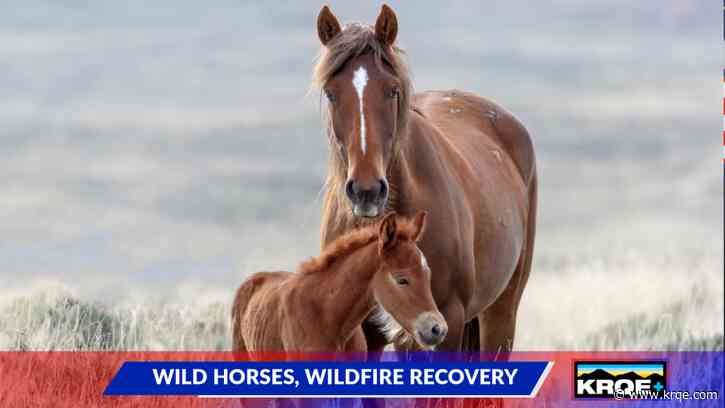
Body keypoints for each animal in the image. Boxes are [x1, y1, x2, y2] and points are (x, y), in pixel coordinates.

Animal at [313, 4, 537, 355]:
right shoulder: (364, 330)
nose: (366, 191)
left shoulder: (448, 320)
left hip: (501, 312)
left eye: (392, 90)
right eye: (331, 93)